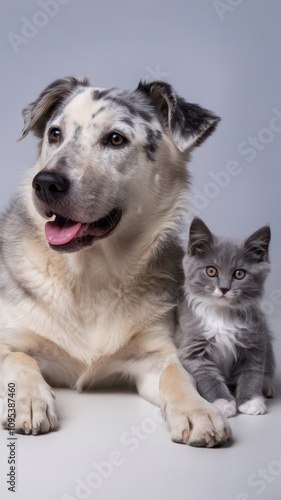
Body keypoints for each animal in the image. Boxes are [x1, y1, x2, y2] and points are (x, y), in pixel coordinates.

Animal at [0, 77, 230, 446]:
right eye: (54, 134)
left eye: (116, 139)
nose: (46, 183)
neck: (91, 275)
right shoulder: (10, 339)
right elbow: (19, 358)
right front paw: (28, 399)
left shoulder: (155, 355)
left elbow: (178, 376)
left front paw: (198, 410)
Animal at [175, 219, 274, 418]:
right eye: (211, 271)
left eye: (239, 274)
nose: (224, 288)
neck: (223, 314)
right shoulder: (192, 349)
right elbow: (208, 378)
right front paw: (223, 403)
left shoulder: (255, 343)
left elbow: (252, 373)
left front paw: (251, 401)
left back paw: (266, 387)